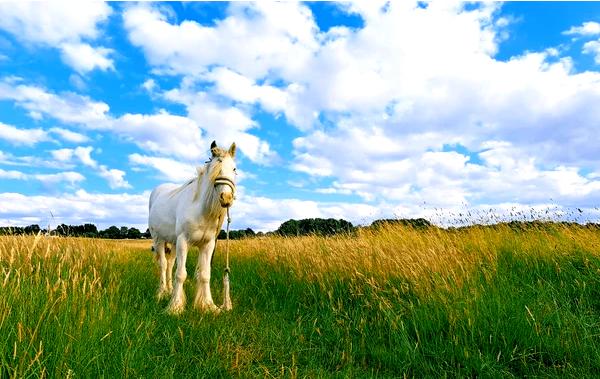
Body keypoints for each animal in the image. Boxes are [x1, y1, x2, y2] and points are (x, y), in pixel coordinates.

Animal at [148, 141, 237, 314]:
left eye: (234, 169)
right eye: (215, 170)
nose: (226, 198)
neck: (201, 210)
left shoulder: (208, 245)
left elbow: (205, 274)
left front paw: (208, 305)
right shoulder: (183, 241)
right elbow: (181, 274)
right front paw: (175, 306)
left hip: (173, 242)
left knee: (170, 264)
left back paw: (169, 290)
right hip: (158, 239)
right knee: (163, 264)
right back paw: (161, 293)